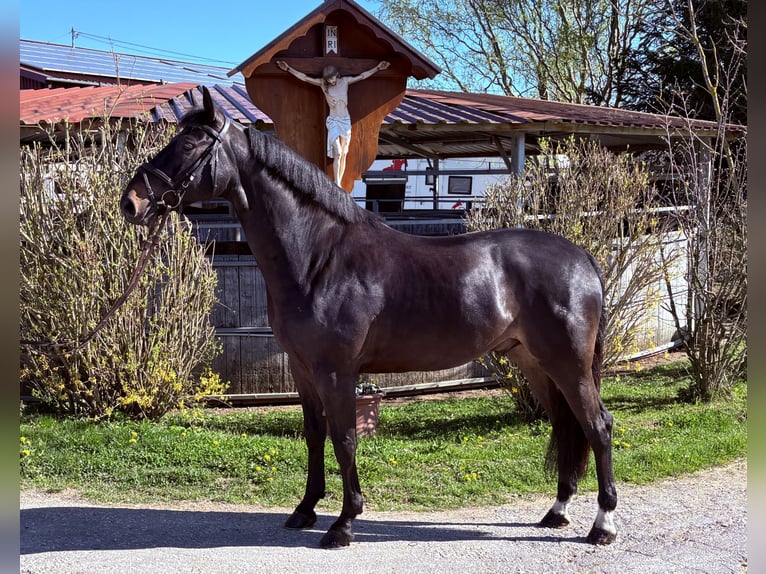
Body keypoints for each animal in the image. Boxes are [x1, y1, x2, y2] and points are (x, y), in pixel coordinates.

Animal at [120, 86, 617, 548]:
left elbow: (344, 439)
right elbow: (315, 434)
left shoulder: (336, 371)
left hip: (568, 364)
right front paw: (305, 509)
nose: (132, 203)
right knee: (567, 426)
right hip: (535, 363)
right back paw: (557, 511)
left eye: (190, 143)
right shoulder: (302, 369)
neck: (319, 256)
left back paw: (603, 525)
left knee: (597, 426)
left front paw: (343, 523)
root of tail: (582, 258)